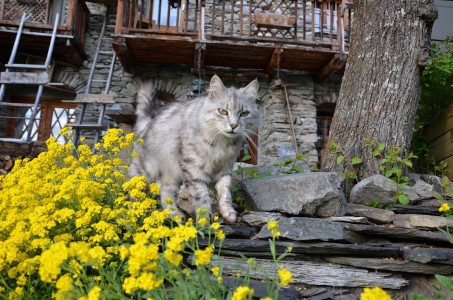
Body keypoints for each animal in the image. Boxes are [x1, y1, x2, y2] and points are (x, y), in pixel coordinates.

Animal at [129, 75, 260, 223]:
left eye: (244, 114)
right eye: (223, 112)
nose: (233, 125)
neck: (222, 144)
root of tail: (149, 123)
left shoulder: (225, 168)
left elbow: (225, 193)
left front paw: (228, 213)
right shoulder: (193, 167)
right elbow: (201, 196)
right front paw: (204, 221)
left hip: (172, 174)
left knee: (165, 193)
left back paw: (175, 215)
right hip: (145, 170)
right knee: (132, 189)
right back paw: (133, 212)